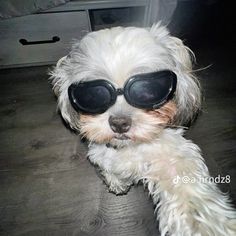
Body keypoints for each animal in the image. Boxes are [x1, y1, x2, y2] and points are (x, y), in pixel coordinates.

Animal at [48, 23, 235, 235]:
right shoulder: (102, 154)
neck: (130, 148)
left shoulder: (173, 156)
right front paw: (117, 182)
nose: (119, 123)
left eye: (147, 90)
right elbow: (110, 168)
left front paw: (204, 226)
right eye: (93, 95)